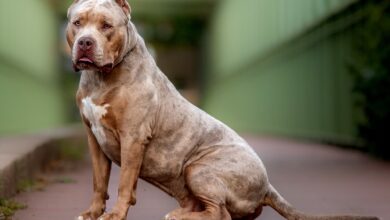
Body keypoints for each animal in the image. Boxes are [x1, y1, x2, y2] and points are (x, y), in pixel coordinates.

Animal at [67, 0, 380, 220]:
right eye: (77, 23)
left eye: (107, 26)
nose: (85, 42)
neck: (102, 77)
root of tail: (267, 184)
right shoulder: (94, 139)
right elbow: (99, 181)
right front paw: (92, 212)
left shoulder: (133, 137)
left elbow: (123, 184)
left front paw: (116, 214)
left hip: (198, 168)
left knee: (221, 212)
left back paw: (180, 216)